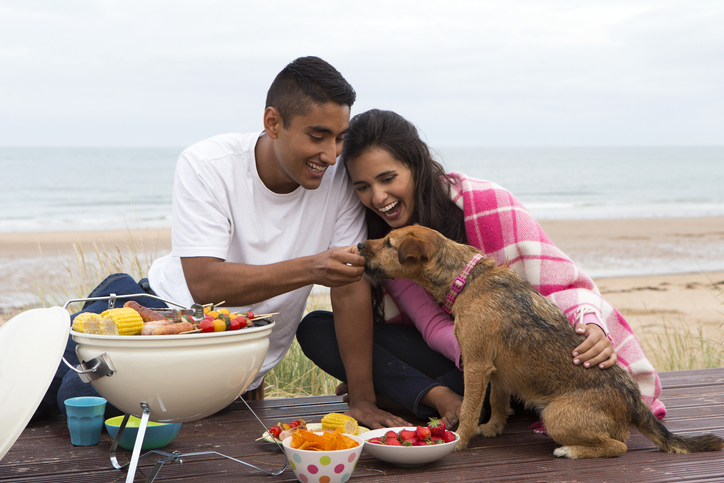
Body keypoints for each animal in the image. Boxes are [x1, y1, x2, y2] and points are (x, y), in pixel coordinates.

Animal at [358, 225, 724, 460]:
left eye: (389, 242)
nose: (360, 246)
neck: (467, 278)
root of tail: (635, 402)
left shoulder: (475, 364)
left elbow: (469, 409)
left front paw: (460, 440)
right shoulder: (496, 371)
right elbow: (499, 402)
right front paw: (492, 428)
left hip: (556, 416)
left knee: (617, 447)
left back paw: (570, 450)